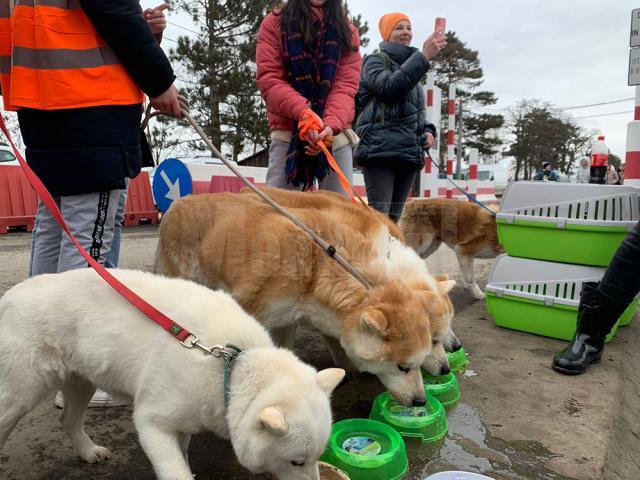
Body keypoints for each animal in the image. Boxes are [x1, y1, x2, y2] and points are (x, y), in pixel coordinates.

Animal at [0, 270, 344, 480]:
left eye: (317, 457)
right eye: (296, 461)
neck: (231, 368)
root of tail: (10, 295)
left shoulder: (182, 422)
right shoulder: (152, 424)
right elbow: (176, 470)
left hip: (81, 381)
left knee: (68, 419)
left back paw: (88, 452)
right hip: (20, 396)